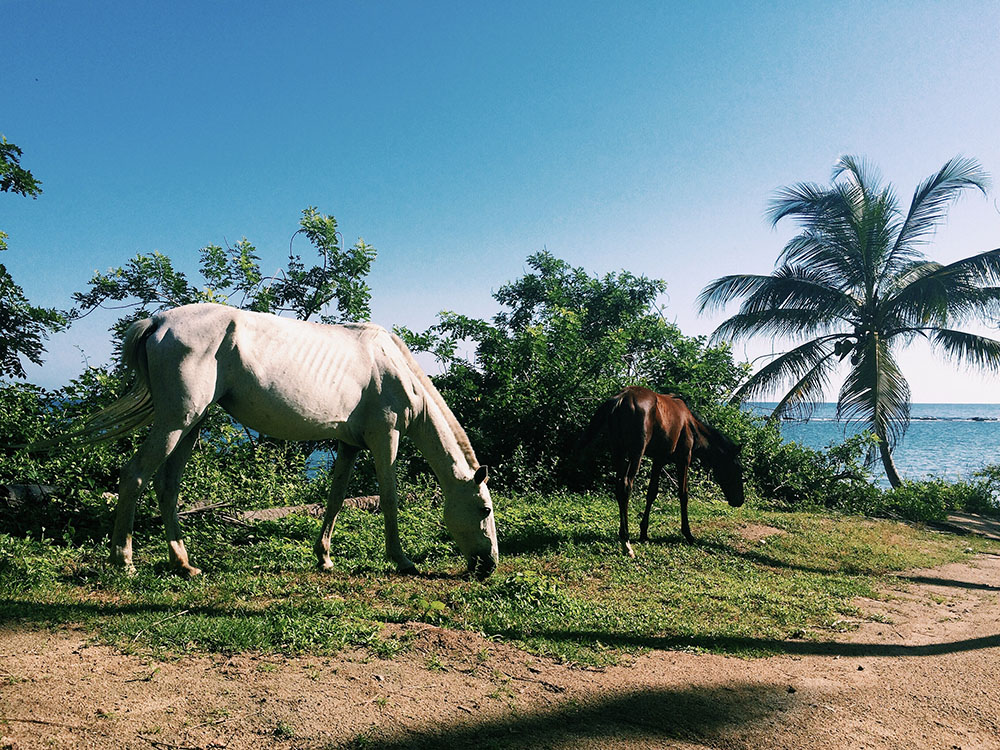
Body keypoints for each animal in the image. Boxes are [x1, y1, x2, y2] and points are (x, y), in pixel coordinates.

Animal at [38, 304, 500, 580]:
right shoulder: (385, 436)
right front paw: (401, 560)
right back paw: (124, 560)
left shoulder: (350, 444)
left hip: (191, 424)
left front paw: (324, 556)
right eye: (484, 509)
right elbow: (388, 497)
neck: (392, 365)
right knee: (135, 476)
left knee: (167, 487)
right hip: (176, 422)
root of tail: (158, 322)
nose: (489, 565)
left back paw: (184, 565)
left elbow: (336, 497)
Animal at [580, 388, 744, 560]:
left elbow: (652, 493)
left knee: (619, 487)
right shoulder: (684, 459)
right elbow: (683, 495)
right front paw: (688, 534)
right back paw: (626, 543)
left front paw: (644, 532)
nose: (739, 500)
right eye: (737, 469)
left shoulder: (658, 460)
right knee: (625, 486)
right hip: (636, 453)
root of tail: (621, 398)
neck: (691, 425)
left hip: (619, 451)